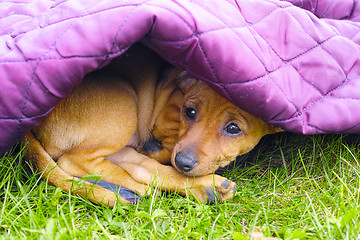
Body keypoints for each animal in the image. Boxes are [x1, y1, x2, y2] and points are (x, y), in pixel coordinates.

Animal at [23, 44, 278, 206]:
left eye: (234, 128)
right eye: (190, 112)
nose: (184, 162)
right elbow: (168, 145)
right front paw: (157, 148)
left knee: (139, 167)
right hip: (124, 104)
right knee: (72, 161)